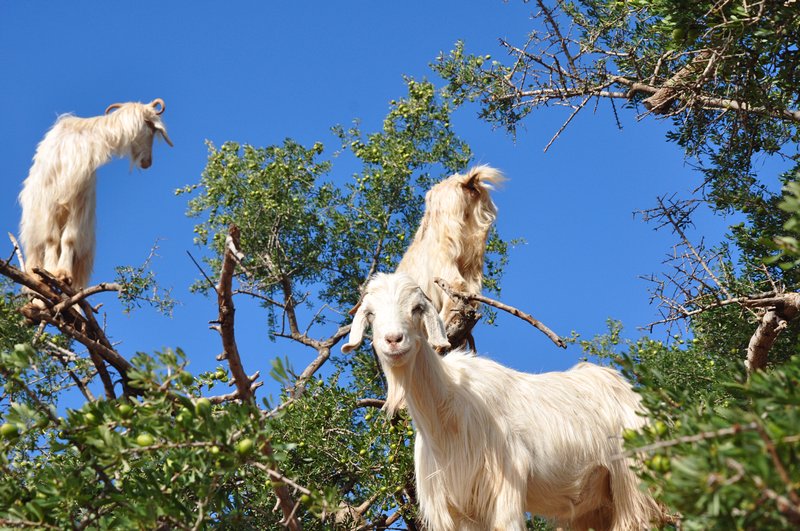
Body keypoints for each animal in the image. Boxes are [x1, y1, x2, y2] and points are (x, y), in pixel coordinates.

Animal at [18, 99, 173, 290]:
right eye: (152, 129)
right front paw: (50, 272)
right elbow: (51, 238)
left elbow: (69, 238)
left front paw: (63, 275)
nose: (148, 162)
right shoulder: (49, 202)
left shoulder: (80, 202)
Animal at [342, 274, 664, 531]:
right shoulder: (453, 511)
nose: (393, 340)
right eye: (370, 314)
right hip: (594, 506)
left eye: (416, 308)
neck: (446, 414)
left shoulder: (503, 493)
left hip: (635, 485)